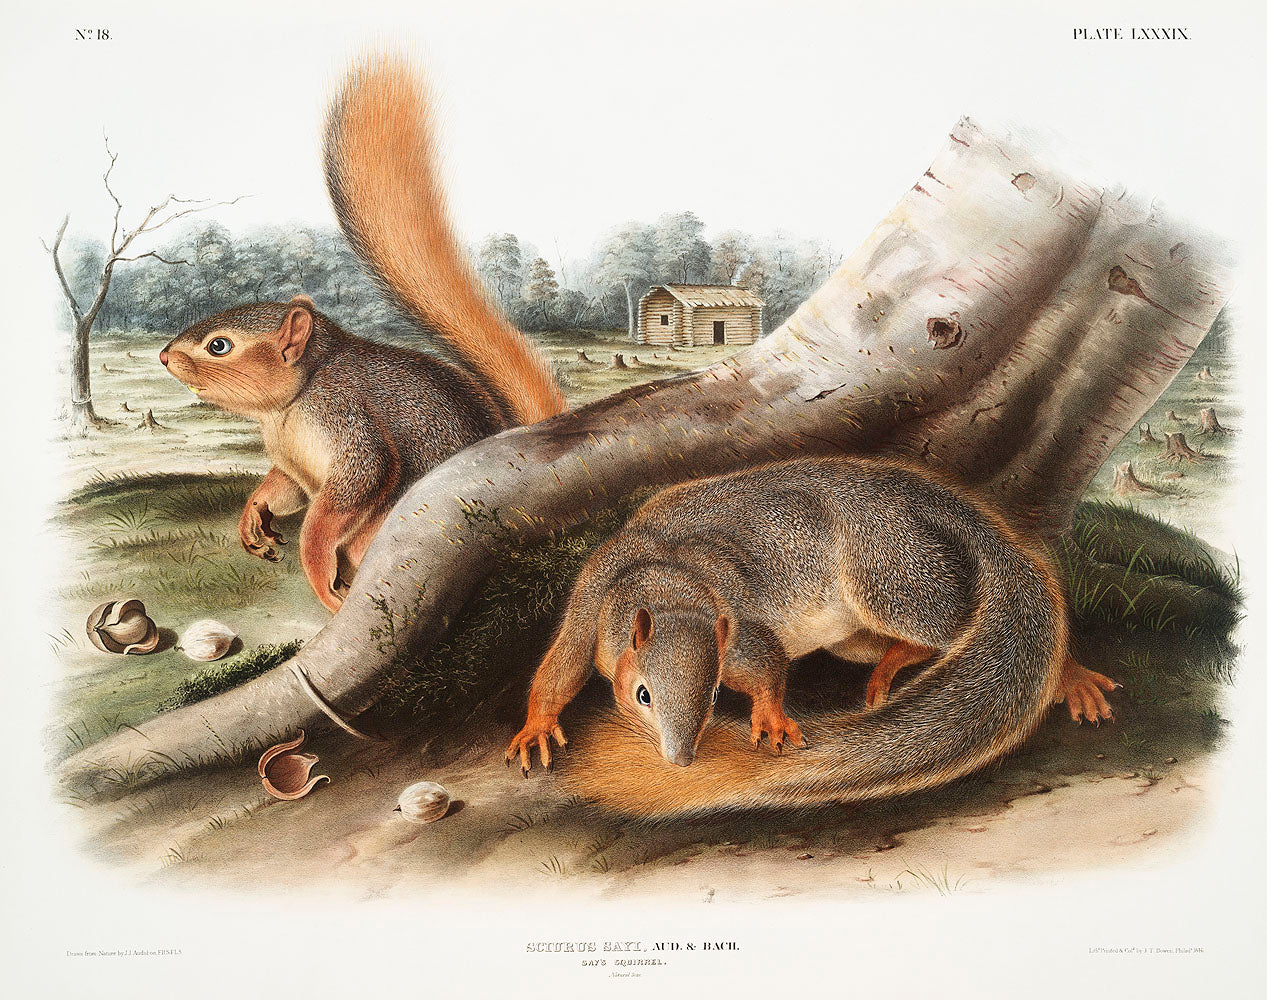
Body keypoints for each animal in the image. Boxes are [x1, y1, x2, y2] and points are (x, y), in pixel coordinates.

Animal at [159, 57, 566, 612]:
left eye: (218, 345)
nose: (163, 357)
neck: (293, 403)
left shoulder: (348, 422)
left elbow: (357, 485)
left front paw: (313, 561)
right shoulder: (292, 463)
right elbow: (283, 488)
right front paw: (252, 517)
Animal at [507, 456, 1118, 817]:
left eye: (712, 696)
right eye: (643, 695)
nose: (680, 760)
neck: (673, 580)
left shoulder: (738, 631)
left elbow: (768, 666)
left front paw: (774, 719)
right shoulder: (589, 604)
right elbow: (560, 667)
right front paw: (535, 728)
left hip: (891, 572)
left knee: (946, 628)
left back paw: (1066, 673)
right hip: (855, 629)